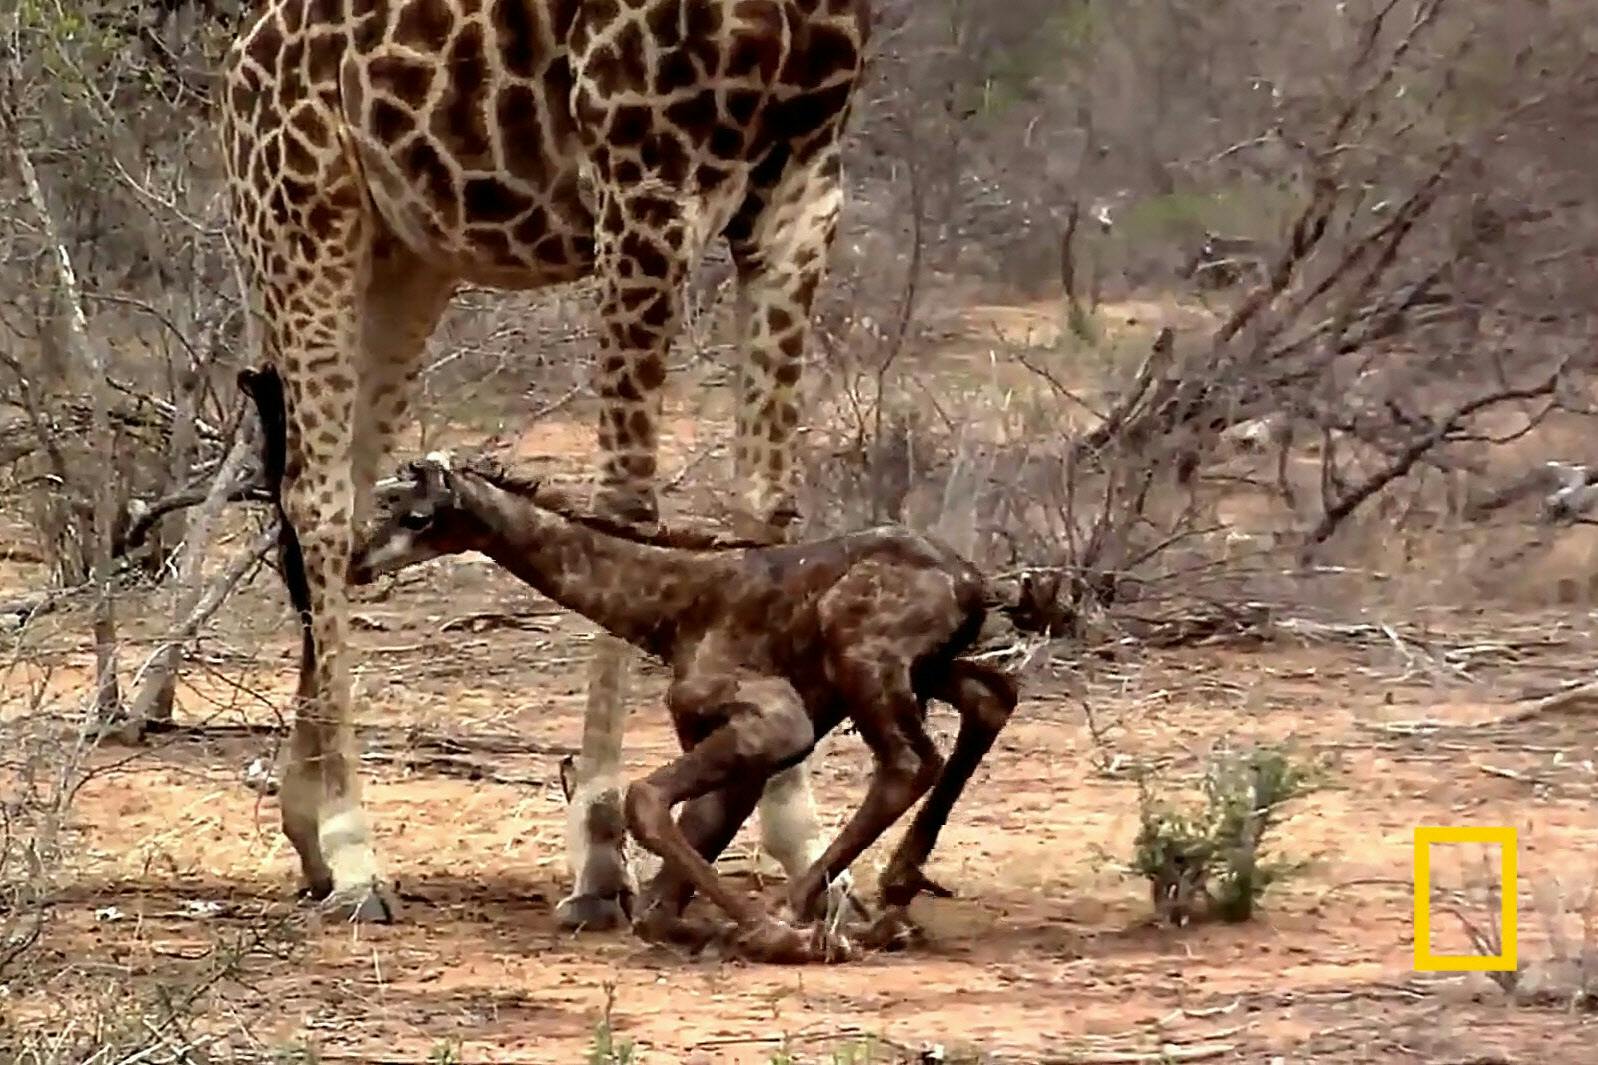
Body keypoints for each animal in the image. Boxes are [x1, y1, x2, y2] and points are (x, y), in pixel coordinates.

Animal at [218, 0, 869, 921]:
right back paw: (355, 853)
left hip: (410, 255)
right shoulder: (642, 182)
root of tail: (243, 62)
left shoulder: (803, 189)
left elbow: (765, 505)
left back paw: (307, 830)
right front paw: (599, 849)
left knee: (341, 492)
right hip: (304, 216)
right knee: (316, 498)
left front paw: (808, 845)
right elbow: (627, 506)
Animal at [348, 450, 1022, 959]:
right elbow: (668, 879)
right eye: (388, 505)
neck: (670, 608)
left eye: (418, 515)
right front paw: (709, 925)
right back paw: (890, 900)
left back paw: (802, 911)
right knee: (990, 700)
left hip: (868, 665)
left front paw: (774, 934)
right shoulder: (722, 733)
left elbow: (645, 802)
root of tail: (973, 584)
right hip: (923, 671)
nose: (357, 562)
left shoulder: (777, 720)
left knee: (908, 763)